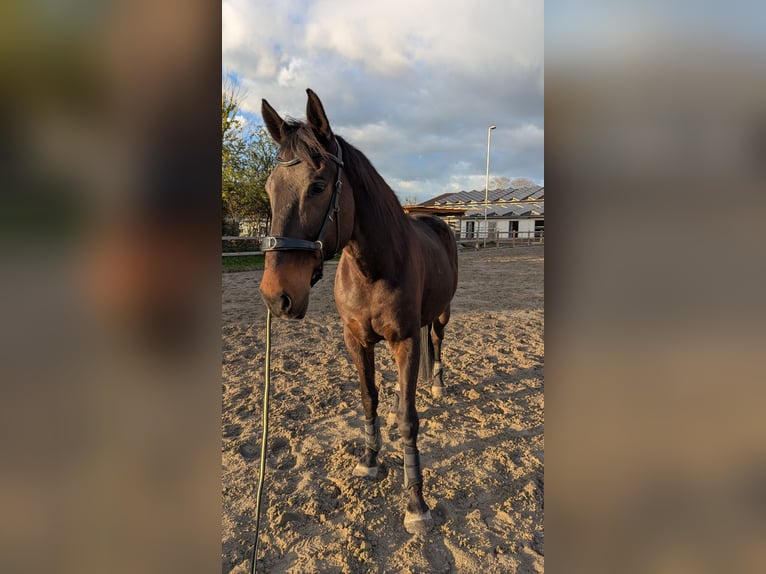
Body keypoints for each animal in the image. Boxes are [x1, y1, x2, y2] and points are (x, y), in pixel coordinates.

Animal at [259, 89, 458, 534]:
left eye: (317, 186)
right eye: (269, 188)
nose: (276, 297)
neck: (374, 268)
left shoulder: (404, 341)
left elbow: (407, 418)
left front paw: (416, 503)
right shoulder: (355, 340)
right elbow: (369, 399)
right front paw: (369, 462)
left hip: (443, 312)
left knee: (437, 341)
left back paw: (438, 385)